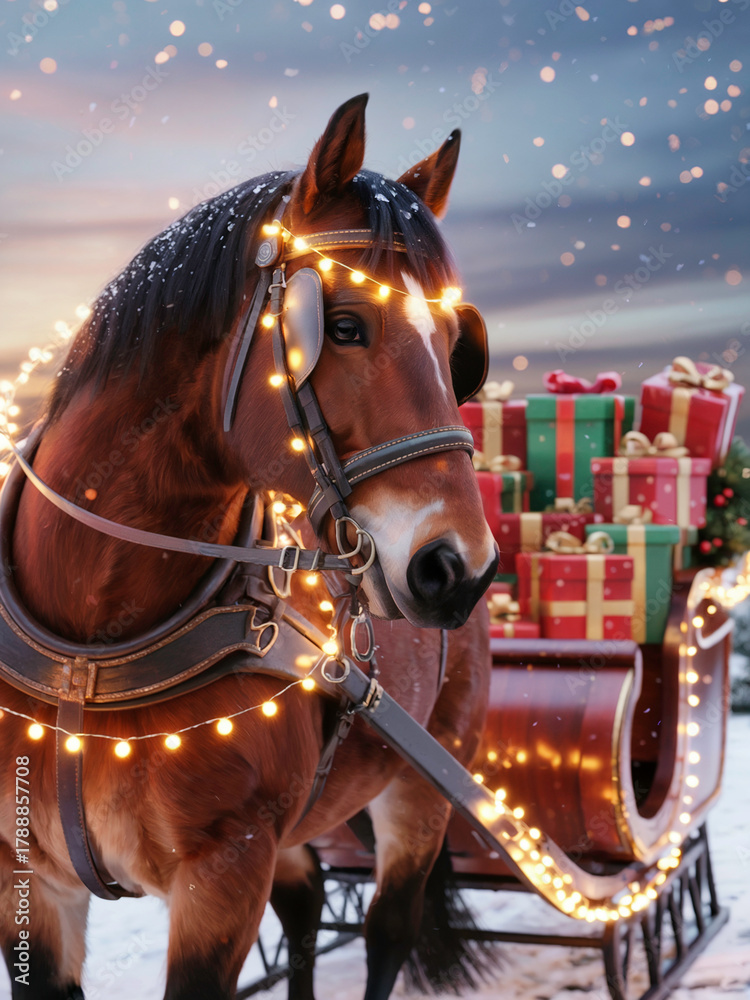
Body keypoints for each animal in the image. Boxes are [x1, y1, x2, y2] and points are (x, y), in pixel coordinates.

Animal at [0, 93, 497, 1000]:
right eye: (343, 325)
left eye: (458, 349)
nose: (460, 567)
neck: (90, 651)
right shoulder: (27, 880)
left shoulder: (225, 870)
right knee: (306, 910)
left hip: (422, 788)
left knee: (388, 930)